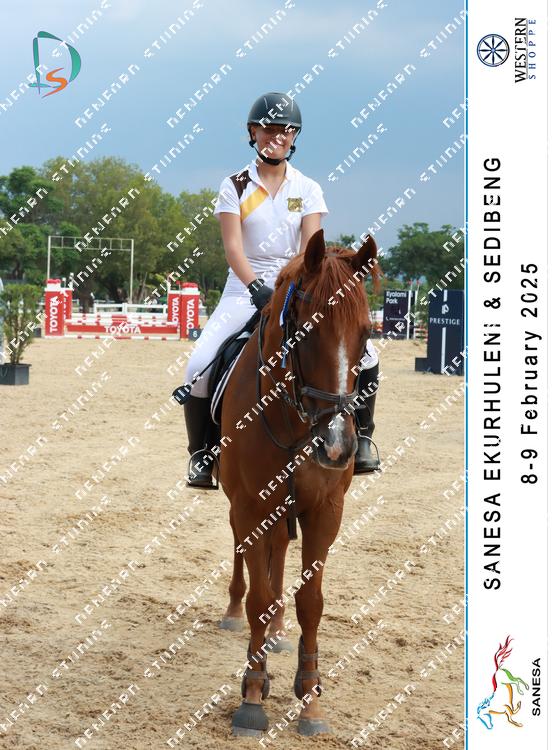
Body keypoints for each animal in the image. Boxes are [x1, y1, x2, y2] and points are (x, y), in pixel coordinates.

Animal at [217, 228, 380, 736]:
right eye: (307, 333)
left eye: (367, 334)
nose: (338, 447)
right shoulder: (251, 505)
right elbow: (260, 598)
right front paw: (252, 695)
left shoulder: (325, 510)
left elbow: (310, 600)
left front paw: (309, 697)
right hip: (244, 506)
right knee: (245, 560)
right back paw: (235, 614)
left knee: (279, 559)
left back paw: (278, 634)